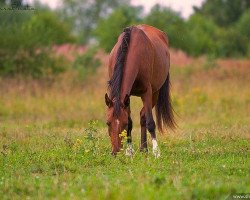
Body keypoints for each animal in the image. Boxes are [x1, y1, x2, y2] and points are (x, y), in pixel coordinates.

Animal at [104, 24, 176, 156]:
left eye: (123, 124)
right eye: (108, 122)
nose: (115, 152)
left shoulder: (146, 92)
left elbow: (150, 123)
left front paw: (156, 152)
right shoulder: (126, 97)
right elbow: (132, 122)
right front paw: (129, 151)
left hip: (155, 93)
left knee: (144, 116)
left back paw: (146, 149)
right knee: (142, 116)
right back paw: (143, 149)